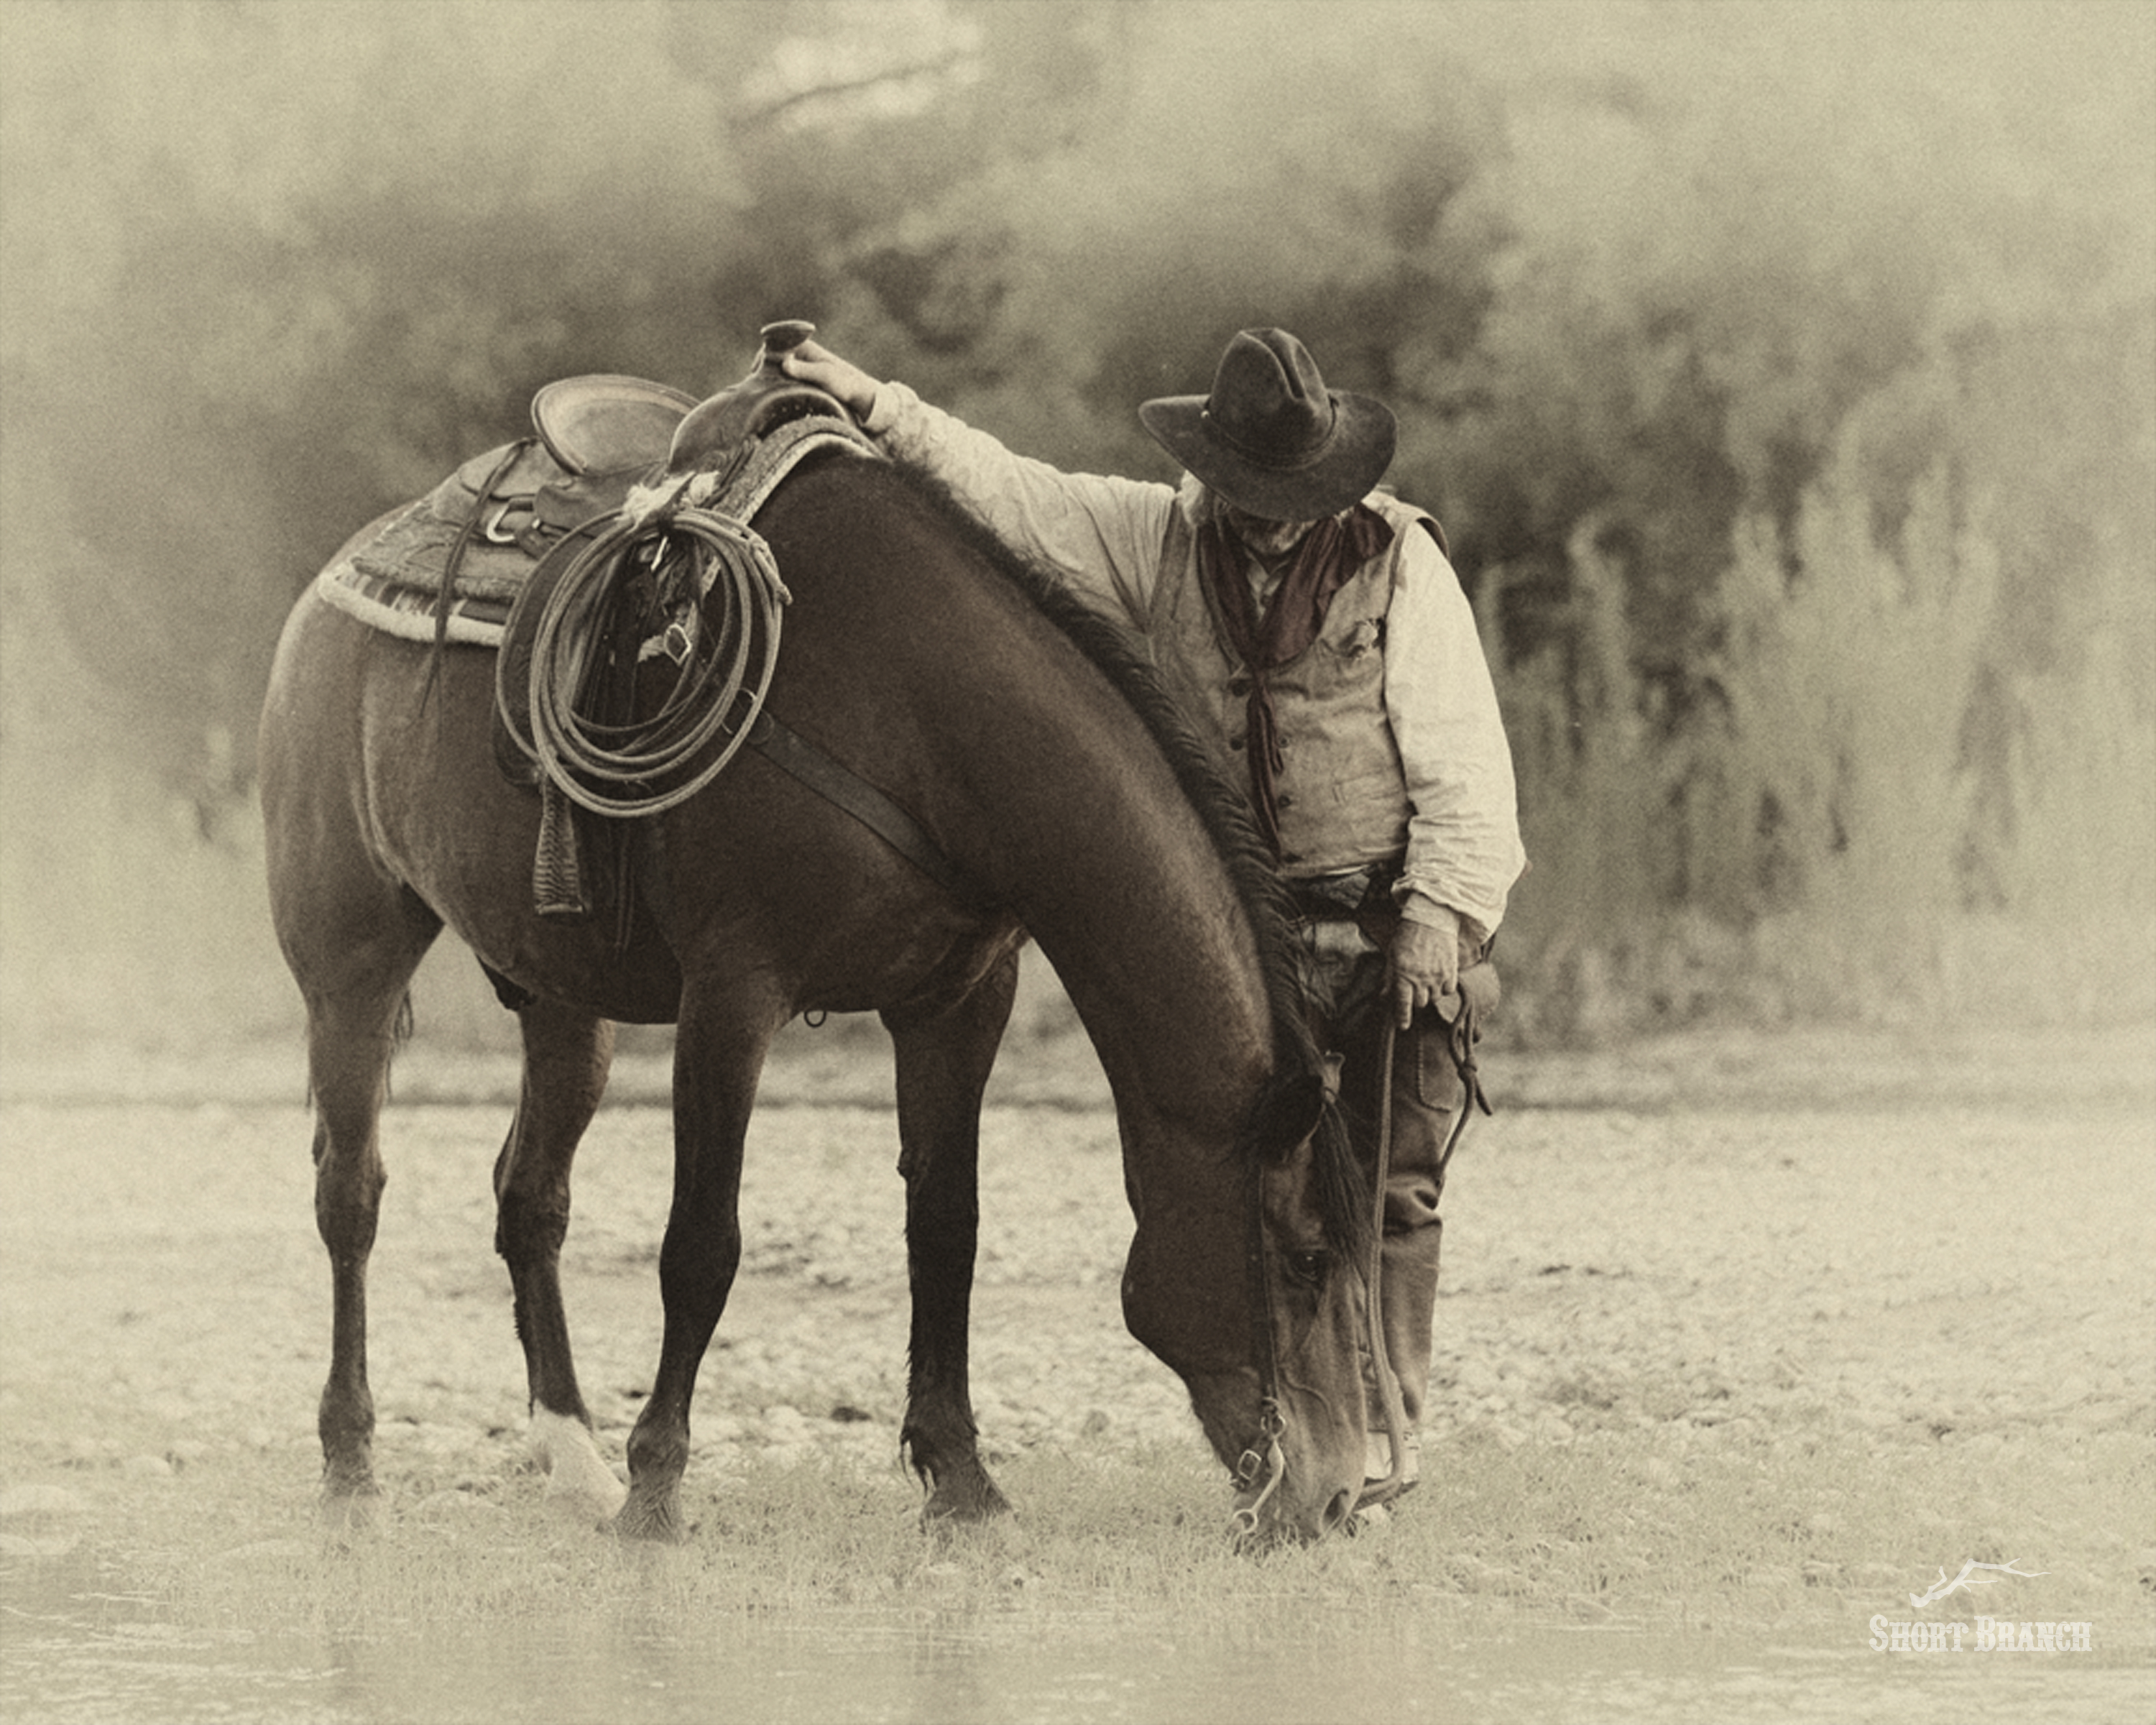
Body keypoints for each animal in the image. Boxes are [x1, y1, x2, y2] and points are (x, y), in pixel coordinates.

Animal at [257, 412, 1380, 1544]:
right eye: (1308, 1259)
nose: (1337, 1496)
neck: (918, 709)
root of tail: (332, 586)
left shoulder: (957, 1003)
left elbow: (946, 1229)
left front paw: (961, 1480)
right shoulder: (734, 993)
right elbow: (701, 1247)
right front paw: (657, 1490)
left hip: (564, 1002)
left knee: (530, 1196)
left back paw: (574, 1463)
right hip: (351, 963)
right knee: (349, 1193)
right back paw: (352, 1462)